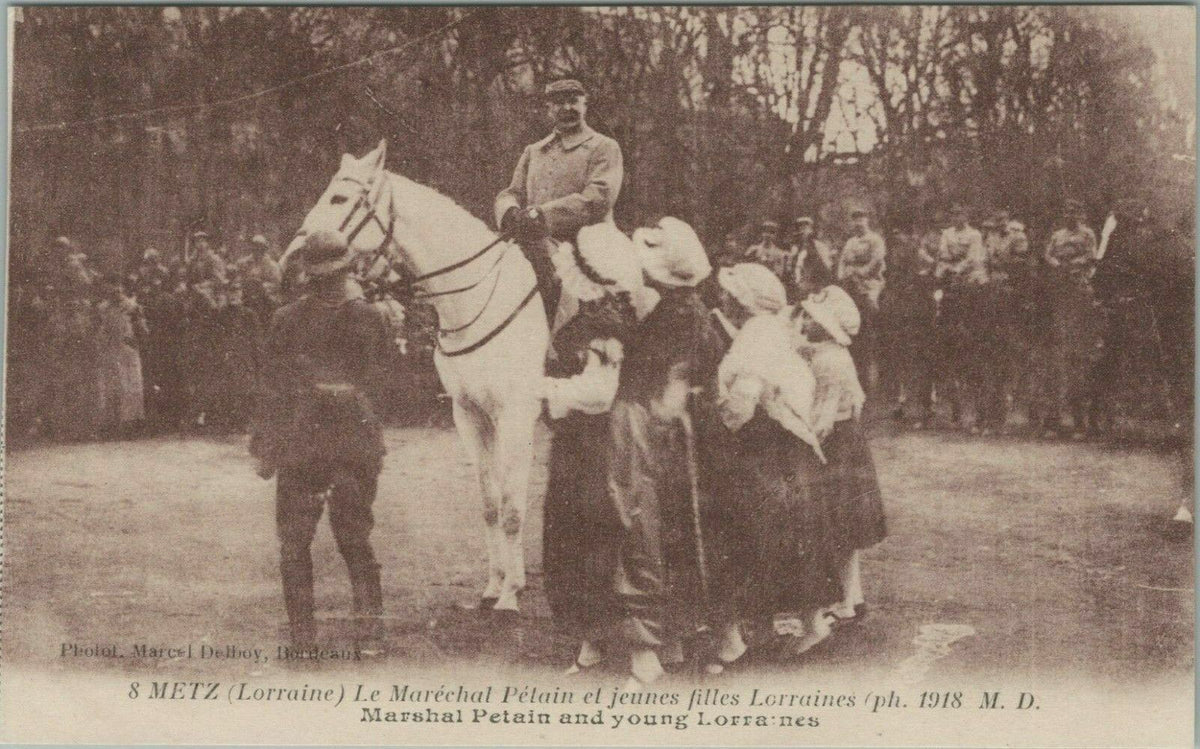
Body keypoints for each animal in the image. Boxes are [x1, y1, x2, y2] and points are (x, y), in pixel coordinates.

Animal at [280, 140, 549, 614]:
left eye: (339, 198)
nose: (287, 263)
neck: (482, 299)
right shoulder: (471, 416)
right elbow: (491, 504)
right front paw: (496, 585)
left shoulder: (515, 416)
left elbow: (514, 508)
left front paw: (510, 597)